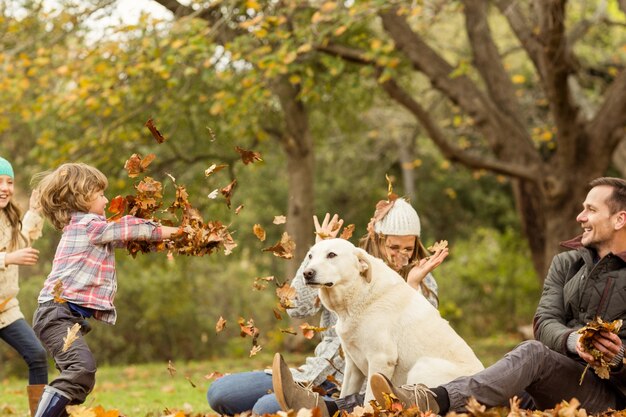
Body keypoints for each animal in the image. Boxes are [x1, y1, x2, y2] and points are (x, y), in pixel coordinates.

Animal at [302, 239, 482, 402]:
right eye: (310, 256)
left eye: (331, 255)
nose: (307, 273)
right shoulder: (352, 366)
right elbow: (345, 395)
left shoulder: (381, 359)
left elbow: (369, 400)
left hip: (421, 367)